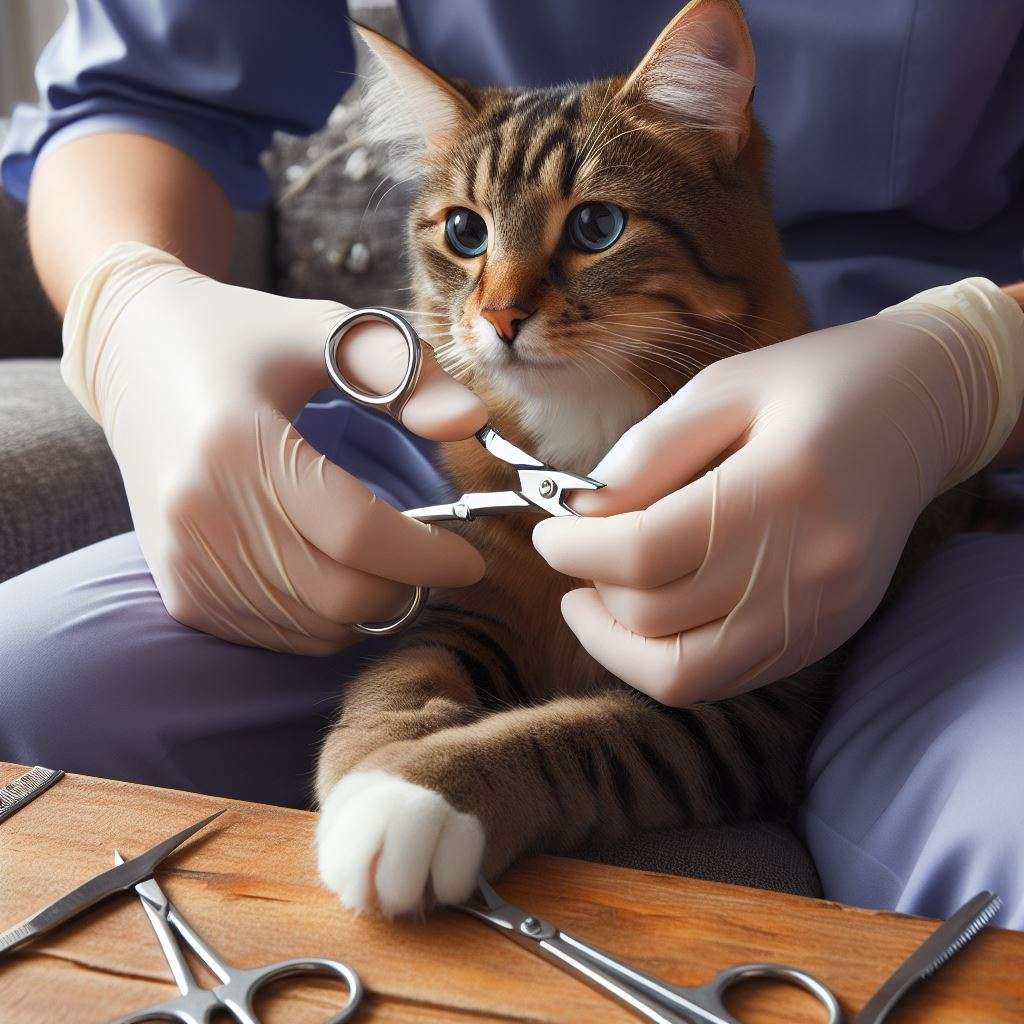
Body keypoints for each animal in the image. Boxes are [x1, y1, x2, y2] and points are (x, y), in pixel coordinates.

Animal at [311, 0, 880, 913]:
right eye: (465, 232)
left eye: (596, 227)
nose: (500, 317)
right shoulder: (472, 604)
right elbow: (401, 677)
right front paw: (371, 765)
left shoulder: (733, 703)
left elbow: (574, 739)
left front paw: (418, 795)